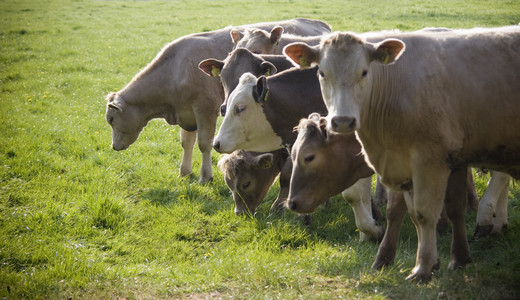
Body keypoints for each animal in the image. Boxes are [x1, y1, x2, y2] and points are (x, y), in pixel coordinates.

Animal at [282, 25, 520, 282]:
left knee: (500, 178)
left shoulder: (432, 161)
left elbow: (428, 211)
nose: (292, 203)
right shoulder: (405, 164)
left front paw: (424, 266)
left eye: (309, 157)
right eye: (322, 73)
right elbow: (405, 211)